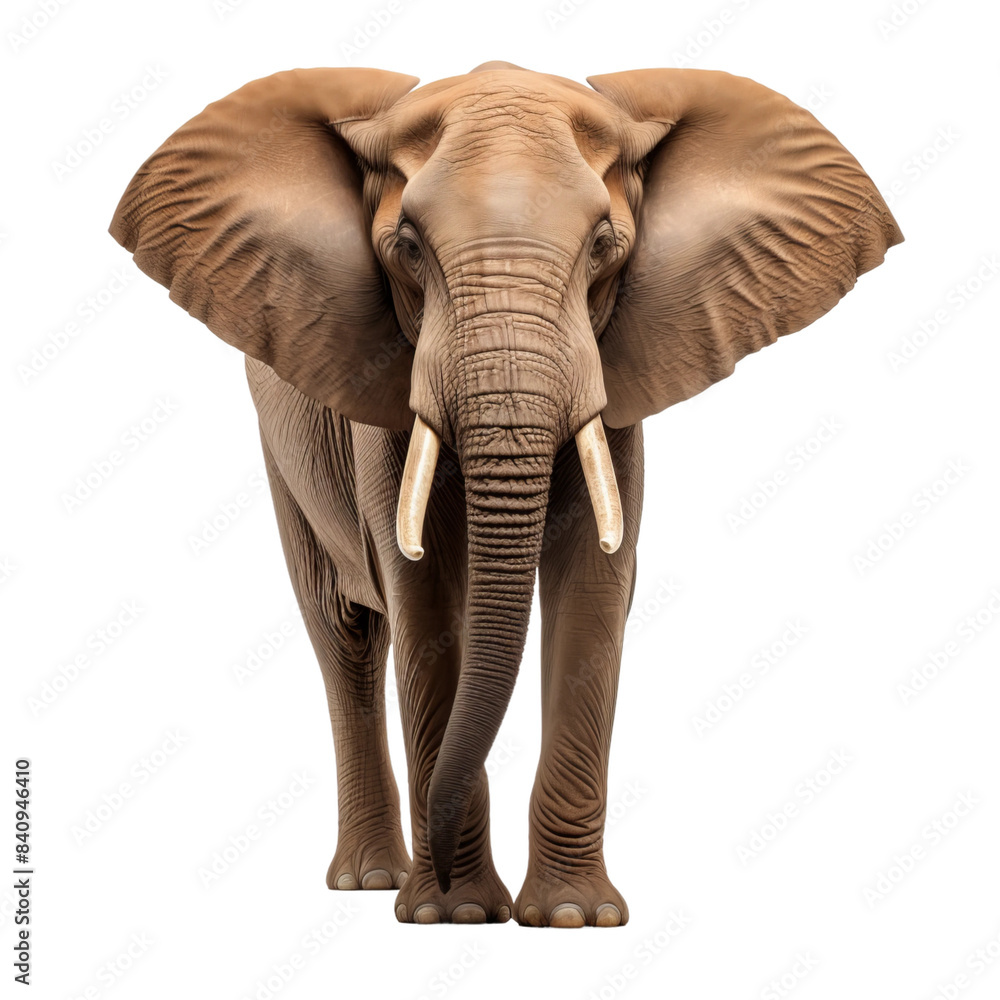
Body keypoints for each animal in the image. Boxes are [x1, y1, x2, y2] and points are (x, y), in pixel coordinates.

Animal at [109, 60, 901, 927]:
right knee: (343, 634)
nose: (450, 880)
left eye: (604, 247)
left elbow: (595, 594)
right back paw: (371, 879)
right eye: (406, 248)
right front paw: (449, 914)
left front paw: (572, 918)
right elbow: (424, 601)